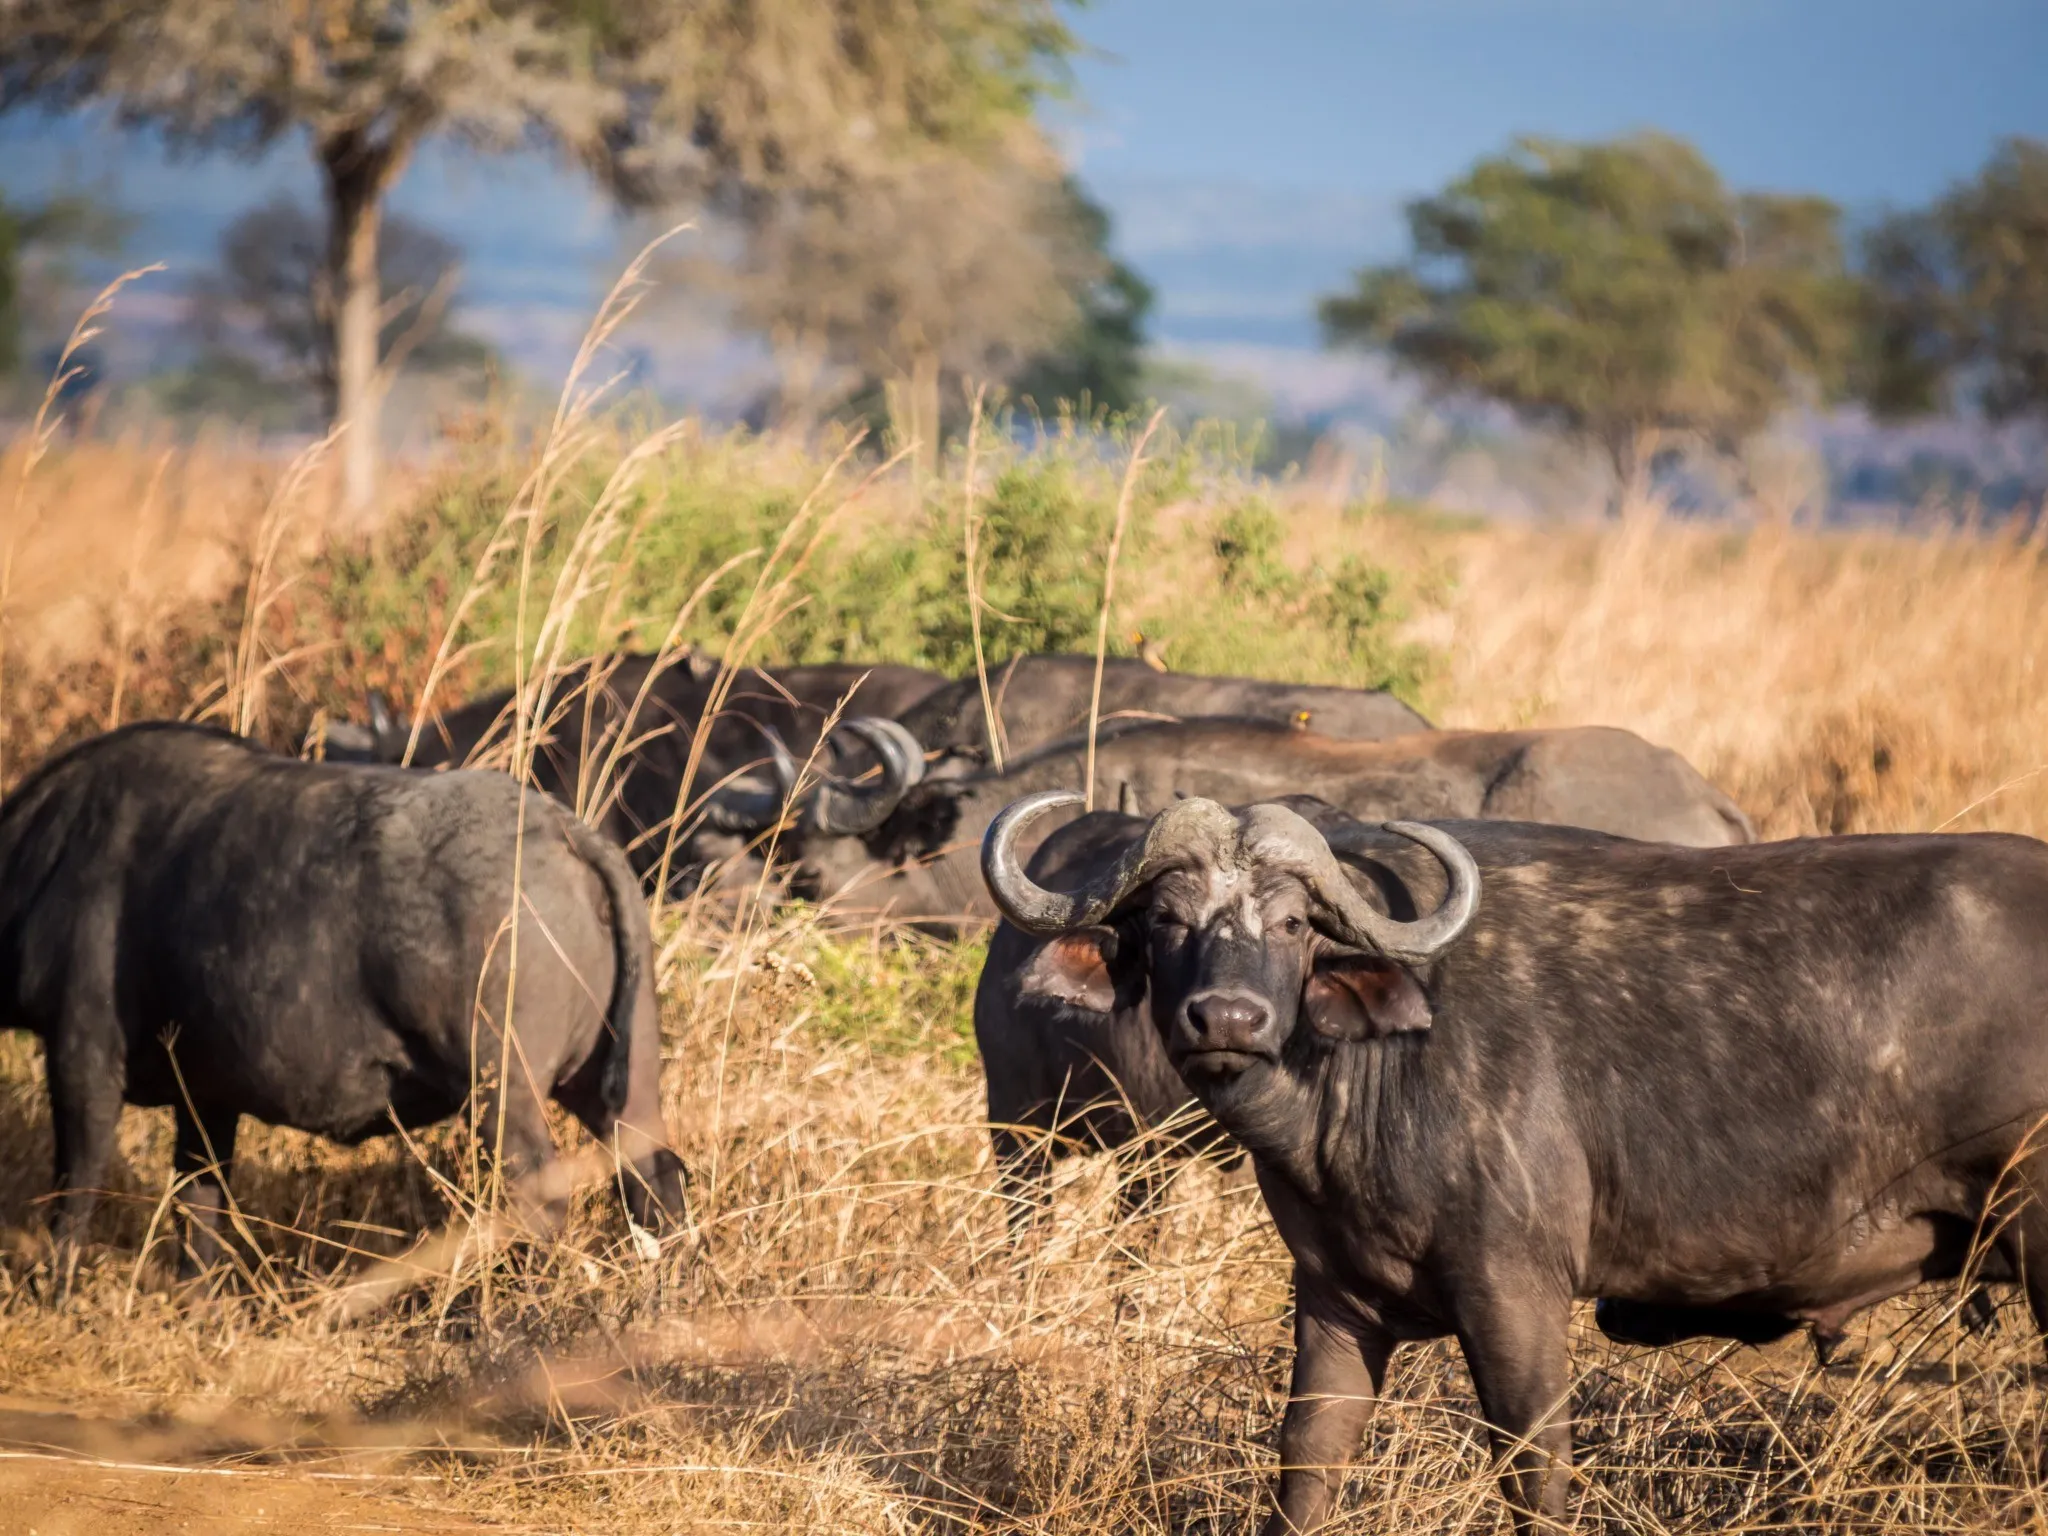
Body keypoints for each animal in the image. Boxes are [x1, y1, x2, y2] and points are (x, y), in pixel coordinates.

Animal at [0, 722, 687, 1271]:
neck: (44, 849)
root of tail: (564, 834)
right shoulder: (206, 1096)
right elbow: (199, 1205)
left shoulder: (82, 1056)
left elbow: (75, 1187)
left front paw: (54, 1286)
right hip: (626, 1083)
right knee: (656, 1178)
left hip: (500, 1093)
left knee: (541, 1200)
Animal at [983, 789, 2048, 1533]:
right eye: (1166, 919)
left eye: (1291, 923)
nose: (1228, 1020)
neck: (1368, 1070)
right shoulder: (1334, 1302)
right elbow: (1307, 1467)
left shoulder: (1515, 1293)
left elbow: (1533, 1470)